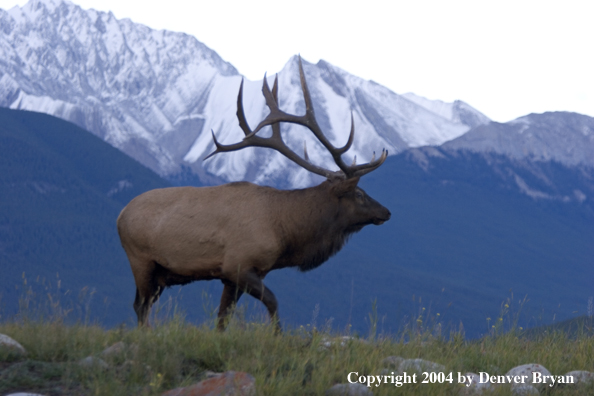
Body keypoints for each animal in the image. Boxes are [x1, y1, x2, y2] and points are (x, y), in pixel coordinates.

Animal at [117, 58, 390, 332]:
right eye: (359, 194)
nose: (386, 212)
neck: (284, 231)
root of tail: (120, 215)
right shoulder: (238, 265)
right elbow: (272, 301)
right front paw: (277, 334)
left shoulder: (235, 276)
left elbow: (223, 318)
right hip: (141, 260)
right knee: (141, 305)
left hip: (159, 272)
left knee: (143, 304)